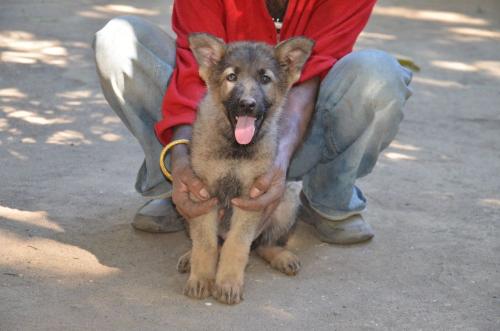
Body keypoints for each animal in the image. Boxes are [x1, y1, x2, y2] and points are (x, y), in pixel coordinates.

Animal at [177, 32, 312, 304]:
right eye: (232, 77)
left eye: (265, 79)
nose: (247, 104)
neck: (235, 148)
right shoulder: (202, 195)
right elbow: (205, 243)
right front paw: (201, 278)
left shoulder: (252, 199)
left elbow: (237, 244)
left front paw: (228, 282)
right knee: (211, 241)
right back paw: (189, 257)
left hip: (288, 199)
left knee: (261, 244)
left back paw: (281, 256)